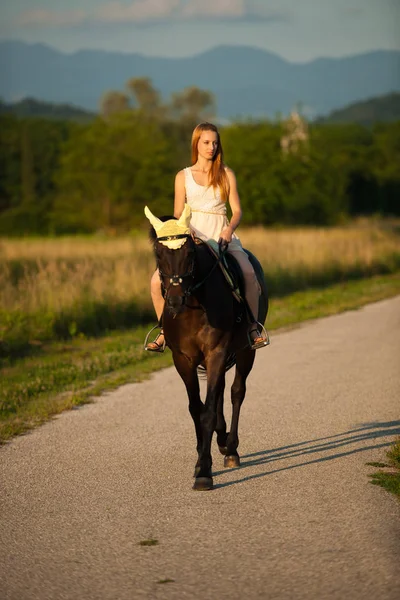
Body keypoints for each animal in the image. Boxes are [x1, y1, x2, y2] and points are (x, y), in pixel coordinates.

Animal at [148, 218, 268, 490]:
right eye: (158, 254)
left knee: (236, 392)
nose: (174, 301)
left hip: (245, 352)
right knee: (222, 390)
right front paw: (200, 457)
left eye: (190, 254)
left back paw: (231, 449)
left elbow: (208, 411)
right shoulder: (183, 360)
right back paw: (222, 440)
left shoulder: (216, 352)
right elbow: (196, 408)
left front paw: (204, 470)